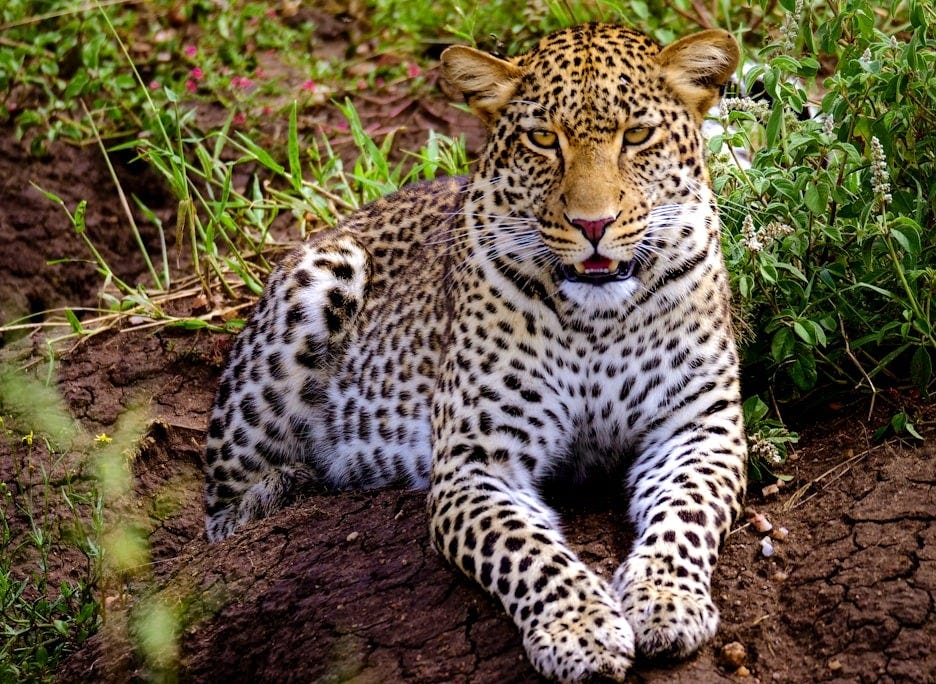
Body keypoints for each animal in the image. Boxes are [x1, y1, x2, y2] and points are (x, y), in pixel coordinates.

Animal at [204, 22, 746, 683]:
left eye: (637, 136)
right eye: (544, 139)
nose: (594, 224)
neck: (597, 319)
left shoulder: (699, 430)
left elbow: (686, 518)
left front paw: (664, 601)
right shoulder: (476, 463)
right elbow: (528, 551)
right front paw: (582, 632)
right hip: (317, 283)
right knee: (221, 518)